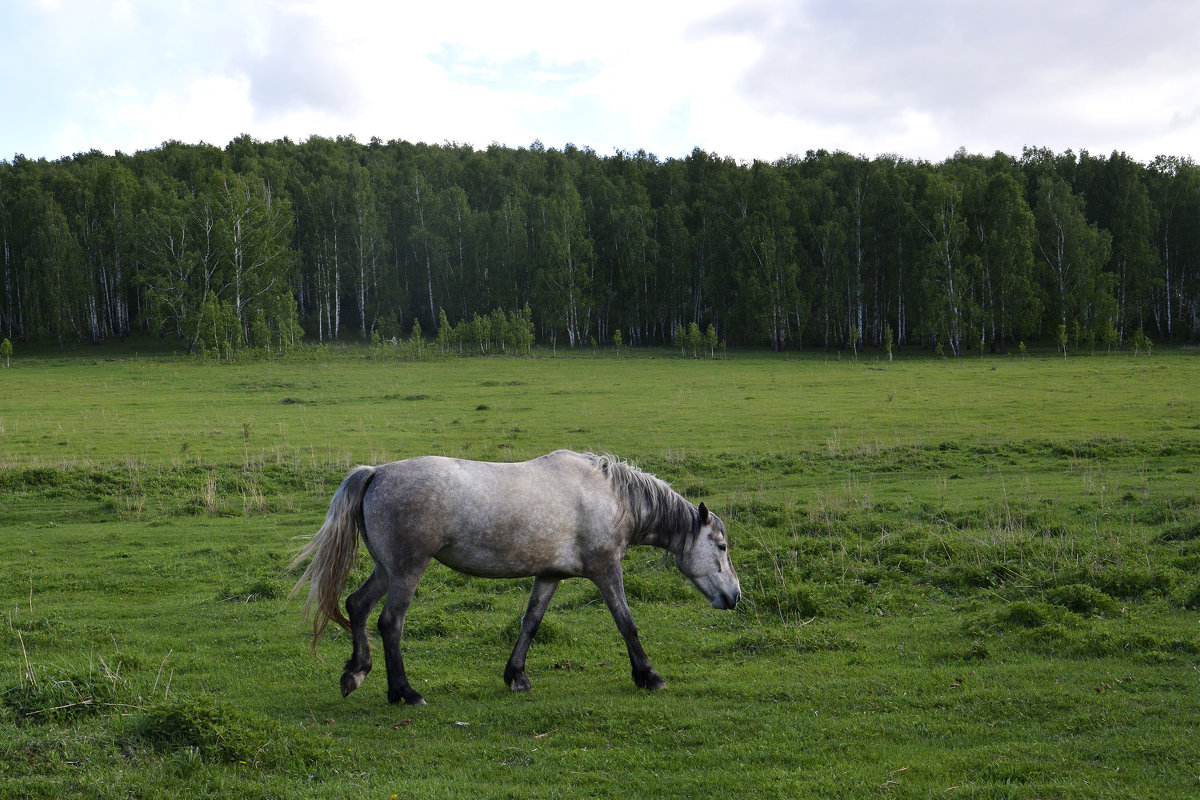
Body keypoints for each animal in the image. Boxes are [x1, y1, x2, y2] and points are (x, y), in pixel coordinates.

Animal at [292, 450, 739, 705]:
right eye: (721, 546)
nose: (734, 596)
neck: (612, 497)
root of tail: (376, 473)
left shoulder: (550, 574)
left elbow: (531, 622)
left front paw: (516, 676)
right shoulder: (606, 569)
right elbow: (626, 622)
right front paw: (648, 676)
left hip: (386, 569)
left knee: (357, 605)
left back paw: (356, 672)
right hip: (406, 570)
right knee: (390, 622)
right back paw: (404, 692)